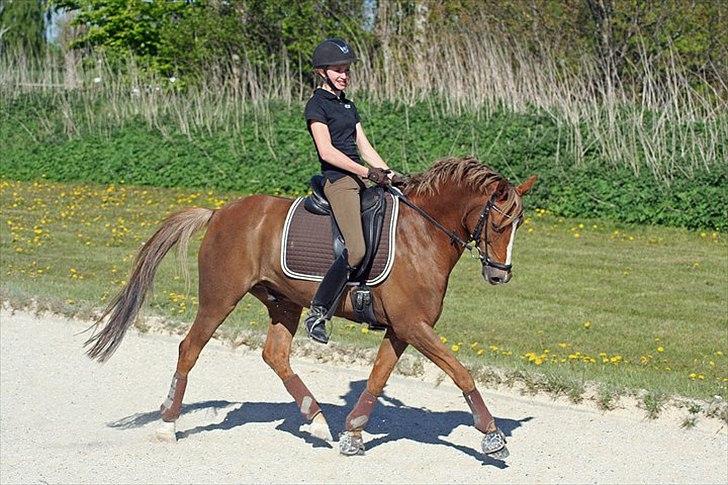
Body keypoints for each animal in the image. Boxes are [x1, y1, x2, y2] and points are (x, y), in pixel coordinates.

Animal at [85, 157, 536, 460]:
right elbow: (461, 371)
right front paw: (492, 437)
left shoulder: (403, 328)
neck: (421, 233)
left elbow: (377, 378)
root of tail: (218, 212)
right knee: (189, 349)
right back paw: (168, 424)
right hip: (219, 298)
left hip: (282, 302)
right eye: (499, 224)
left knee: (275, 355)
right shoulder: (413, 325)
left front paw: (352, 435)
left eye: (518, 225)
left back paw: (317, 420)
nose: (500, 275)